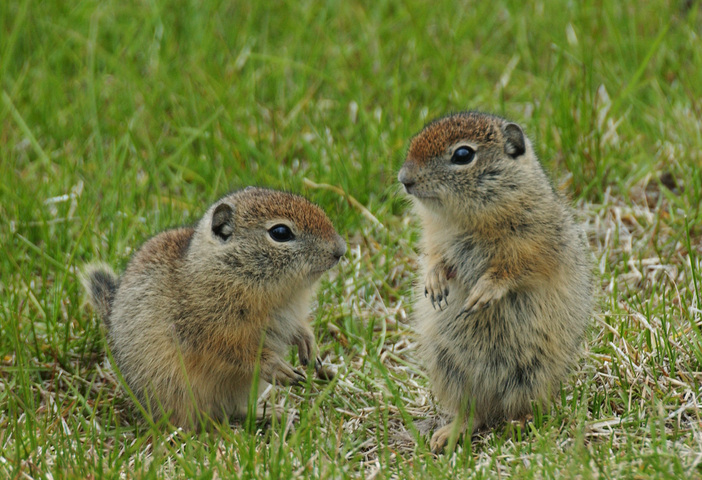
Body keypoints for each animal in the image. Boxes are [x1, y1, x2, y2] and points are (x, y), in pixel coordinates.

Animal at [84, 186, 348, 430]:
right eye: (280, 232)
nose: (341, 249)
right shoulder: (211, 331)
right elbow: (237, 351)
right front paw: (276, 366)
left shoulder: (288, 316)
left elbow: (299, 329)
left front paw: (310, 347)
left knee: (233, 411)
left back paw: (272, 415)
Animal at [402, 110, 592, 452]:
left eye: (463, 154)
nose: (404, 179)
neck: (466, 220)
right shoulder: (435, 241)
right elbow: (436, 258)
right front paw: (434, 284)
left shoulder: (536, 244)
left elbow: (514, 269)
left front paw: (482, 293)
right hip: (449, 369)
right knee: (473, 413)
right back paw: (445, 435)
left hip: (531, 372)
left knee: (526, 407)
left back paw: (519, 424)